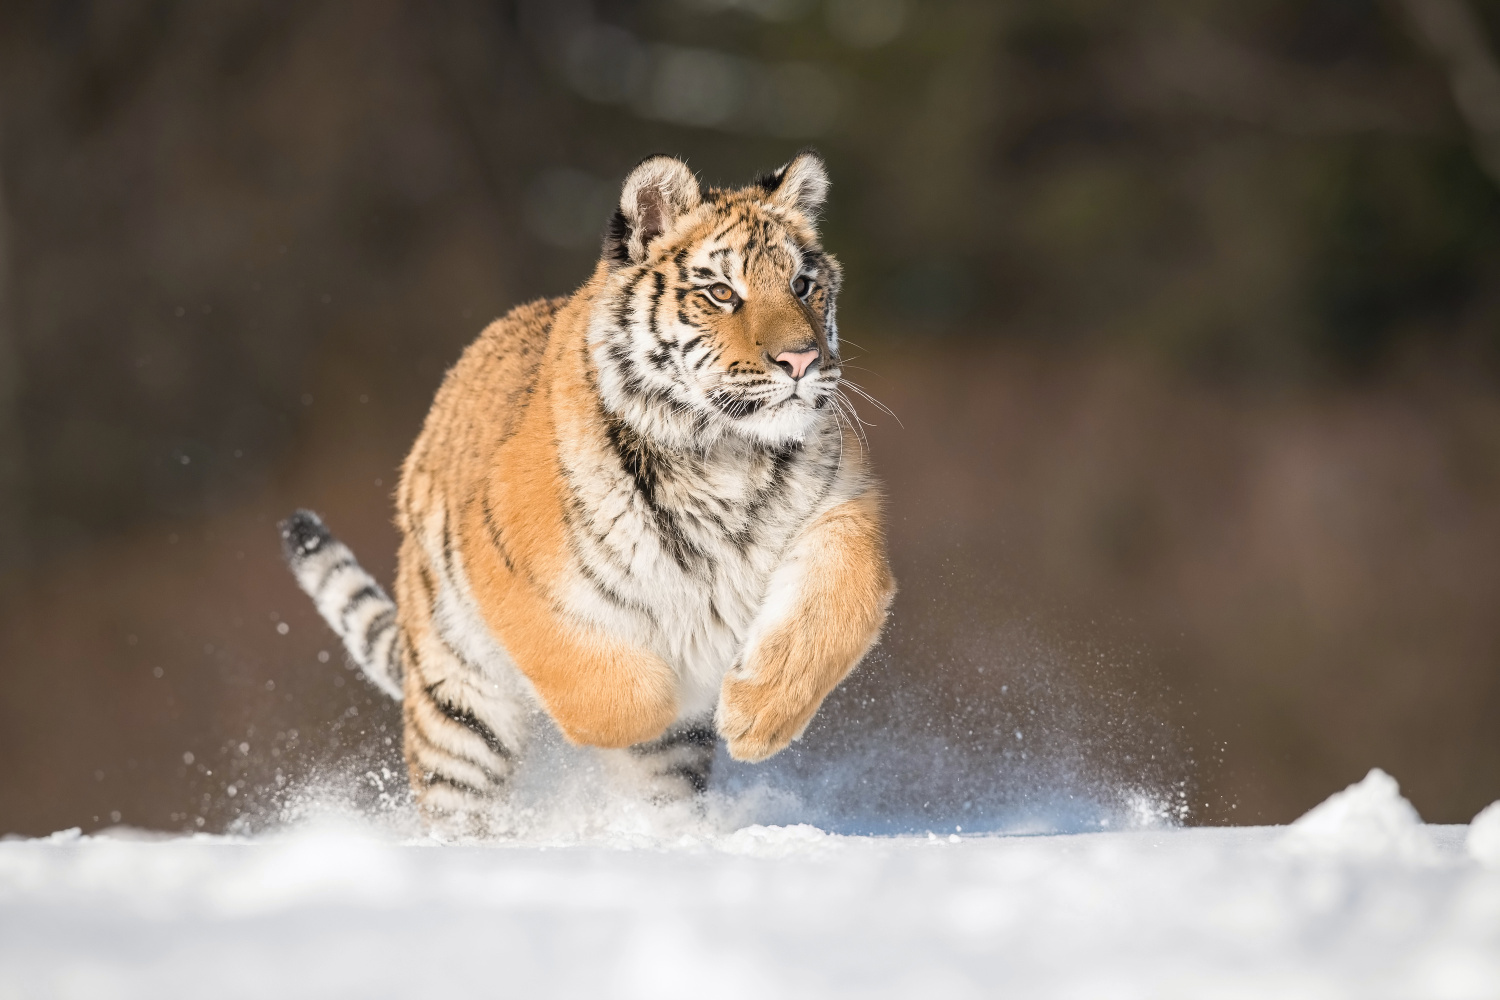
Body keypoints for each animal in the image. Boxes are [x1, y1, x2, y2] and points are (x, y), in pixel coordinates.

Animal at [279, 152, 888, 827]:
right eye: (722, 292)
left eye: (803, 286)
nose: (803, 361)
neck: (722, 450)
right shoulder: (510, 565)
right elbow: (616, 692)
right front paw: (680, 691)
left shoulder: (842, 505)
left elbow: (841, 604)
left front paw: (755, 716)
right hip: (458, 710)